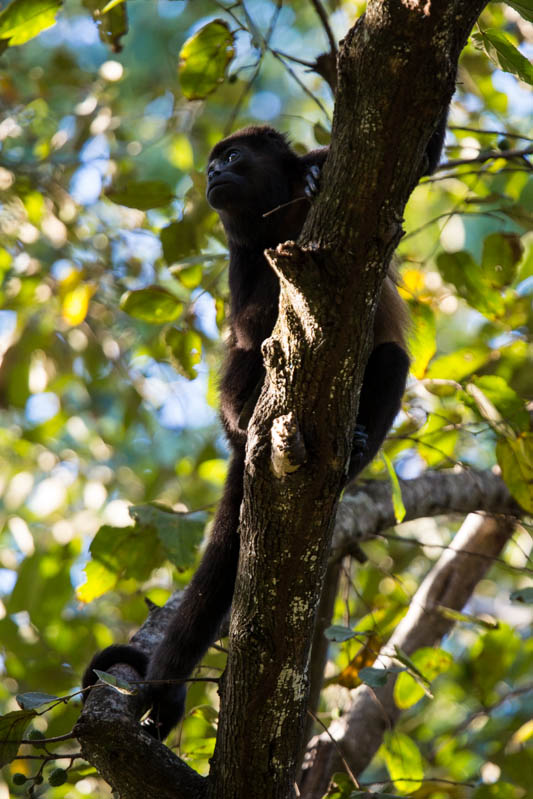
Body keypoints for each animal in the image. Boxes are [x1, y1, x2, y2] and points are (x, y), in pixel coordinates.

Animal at [83, 122, 444, 740]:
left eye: (231, 157)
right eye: (212, 164)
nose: (211, 173)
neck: (277, 218)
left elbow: (421, 157)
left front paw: (318, 172)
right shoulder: (244, 255)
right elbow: (250, 324)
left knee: (392, 357)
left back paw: (354, 449)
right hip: (239, 411)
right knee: (250, 352)